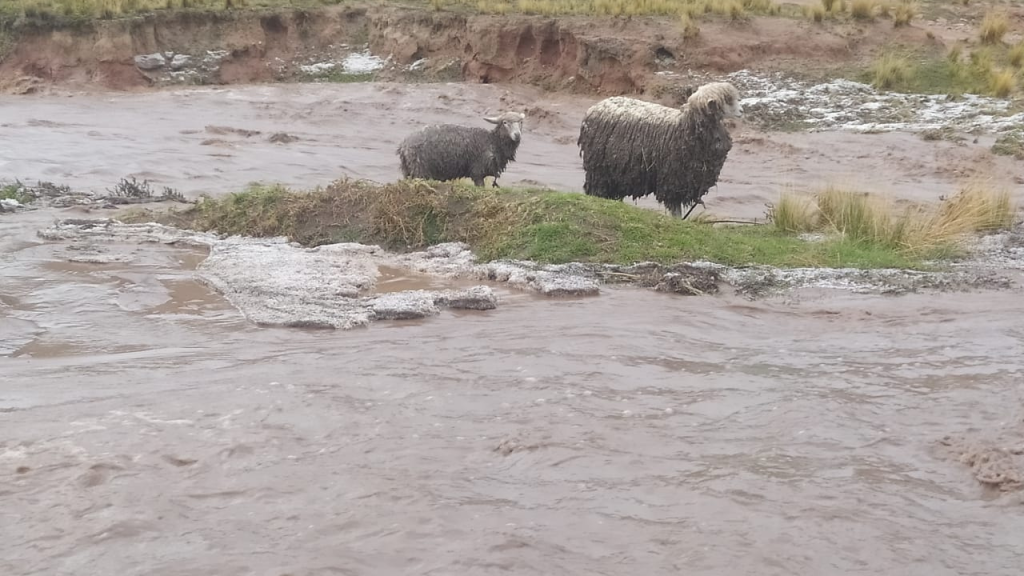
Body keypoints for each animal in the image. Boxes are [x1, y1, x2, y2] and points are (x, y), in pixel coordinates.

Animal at [397, 111, 526, 188]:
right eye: (505, 122)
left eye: (520, 122)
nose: (517, 135)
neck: (493, 141)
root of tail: (404, 145)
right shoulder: (477, 171)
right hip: (420, 170)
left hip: (407, 170)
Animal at [576, 82, 743, 219]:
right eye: (728, 100)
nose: (741, 111)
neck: (685, 127)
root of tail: (594, 108)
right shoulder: (673, 180)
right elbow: (675, 210)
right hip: (599, 169)